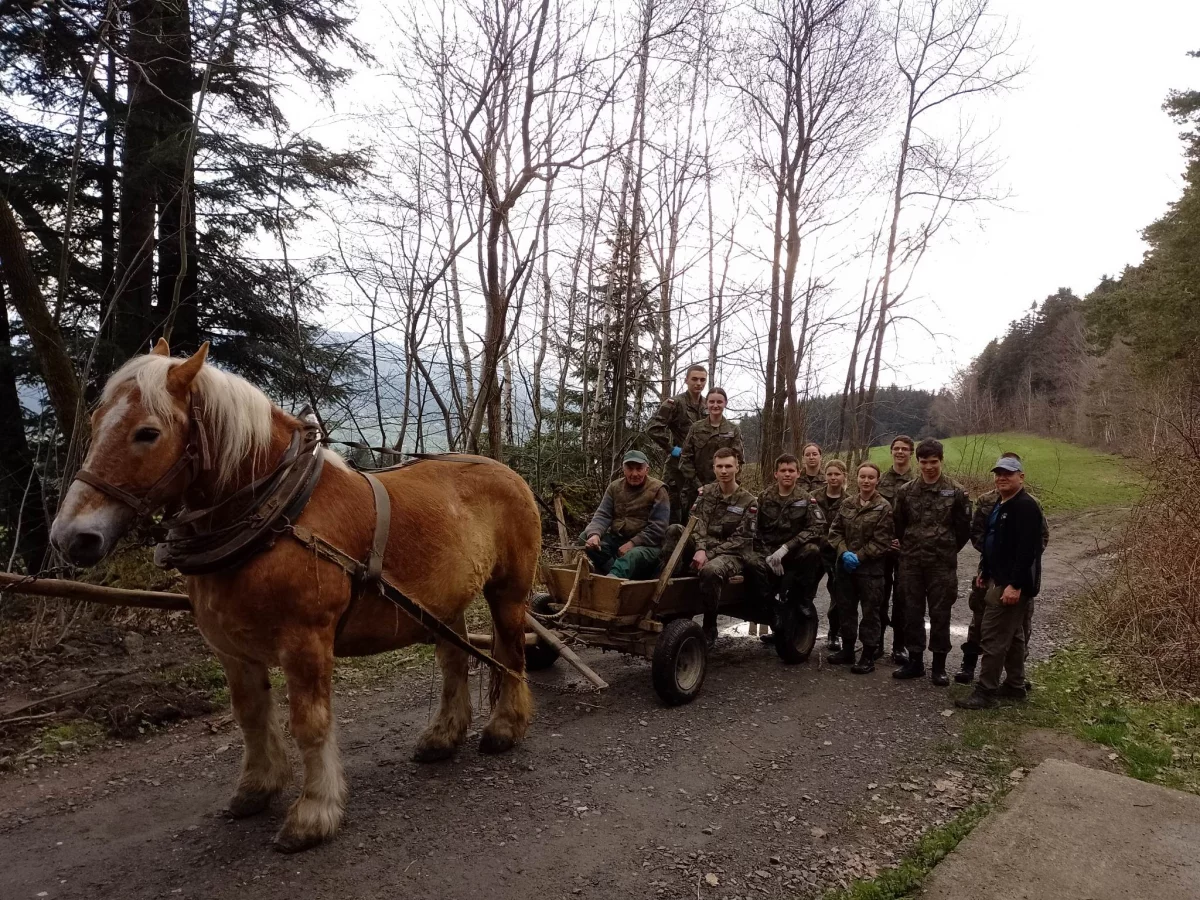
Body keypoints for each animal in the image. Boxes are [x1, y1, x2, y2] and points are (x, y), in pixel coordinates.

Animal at [49, 340, 540, 854]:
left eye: (148, 433)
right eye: (94, 421)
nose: (70, 537)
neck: (277, 515)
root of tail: (506, 471)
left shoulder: (306, 641)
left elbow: (309, 723)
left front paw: (314, 813)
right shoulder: (231, 648)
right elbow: (250, 715)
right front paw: (257, 787)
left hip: (509, 594)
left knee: (512, 655)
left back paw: (505, 728)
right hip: (442, 605)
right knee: (453, 663)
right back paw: (443, 737)